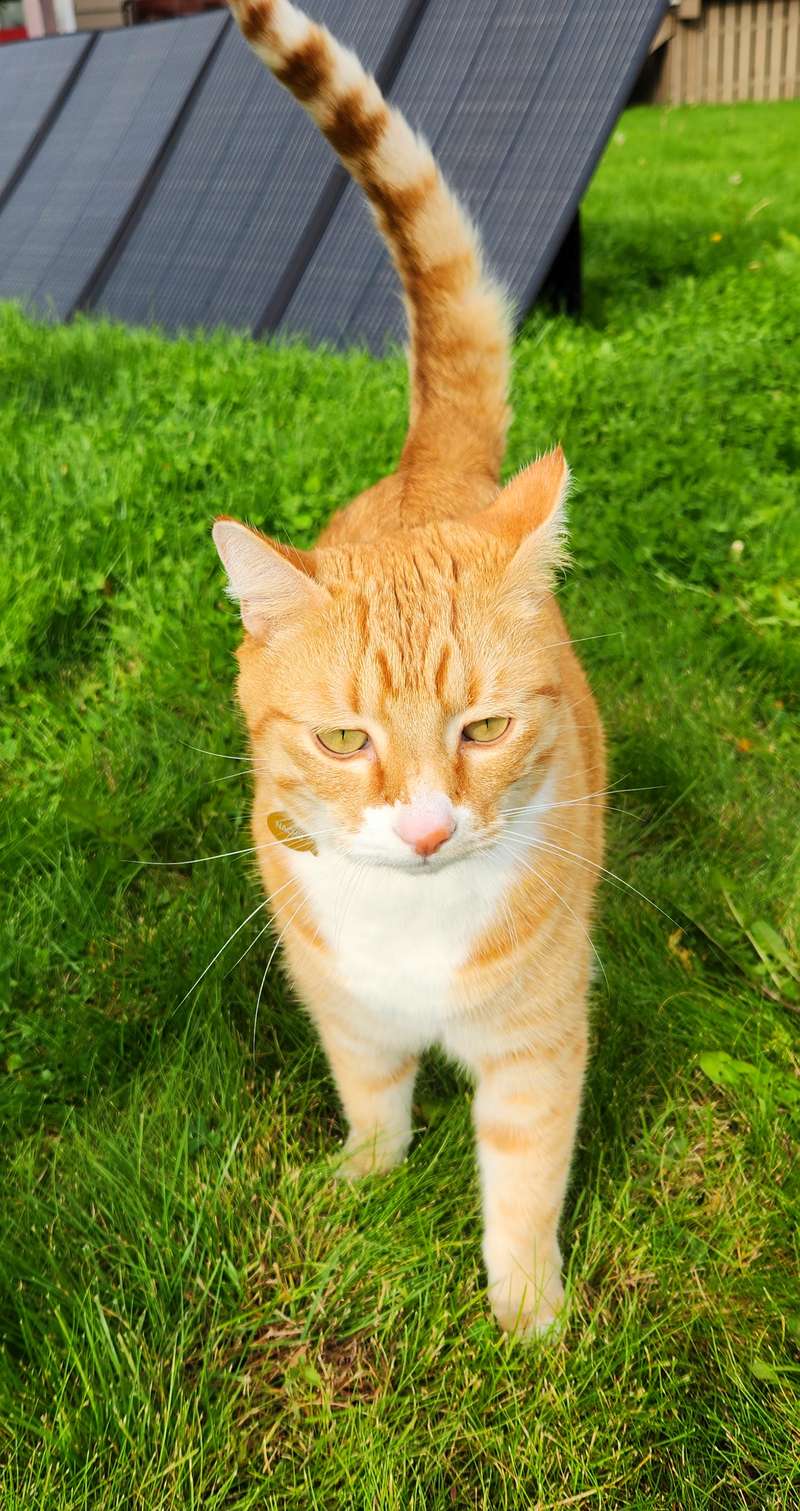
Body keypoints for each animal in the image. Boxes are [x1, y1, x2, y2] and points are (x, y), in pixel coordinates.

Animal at [214, 0, 601, 1335]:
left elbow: (524, 1181)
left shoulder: (536, 1041)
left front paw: (529, 1322)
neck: (415, 918)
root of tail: (432, 473)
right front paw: (361, 1183)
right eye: (344, 739)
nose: (429, 828)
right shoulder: (346, 1009)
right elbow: (371, 1096)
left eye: (482, 729)